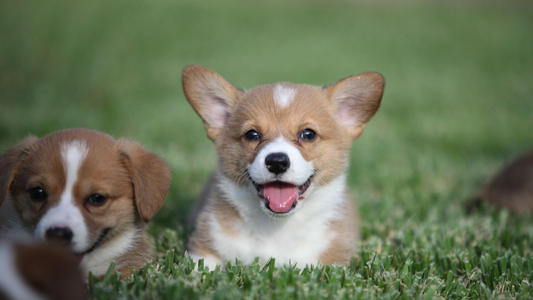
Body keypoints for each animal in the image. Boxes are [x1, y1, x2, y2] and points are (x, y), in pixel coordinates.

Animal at [182, 66, 382, 270]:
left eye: (308, 134)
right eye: (252, 134)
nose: (277, 161)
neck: (277, 227)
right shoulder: (205, 247)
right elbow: (201, 269)